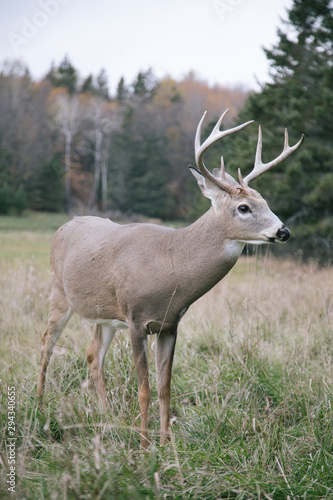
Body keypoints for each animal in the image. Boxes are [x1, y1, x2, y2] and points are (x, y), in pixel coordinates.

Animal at [37, 109, 304, 450]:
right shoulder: (136, 319)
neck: (170, 266)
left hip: (104, 314)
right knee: (46, 344)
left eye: (266, 202)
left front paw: (166, 443)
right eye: (243, 207)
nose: (283, 231)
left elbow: (165, 386)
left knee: (93, 356)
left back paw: (107, 416)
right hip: (59, 292)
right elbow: (145, 388)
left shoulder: (170, 324)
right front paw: (143, 445)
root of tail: (66, 224)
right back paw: (40, 405)